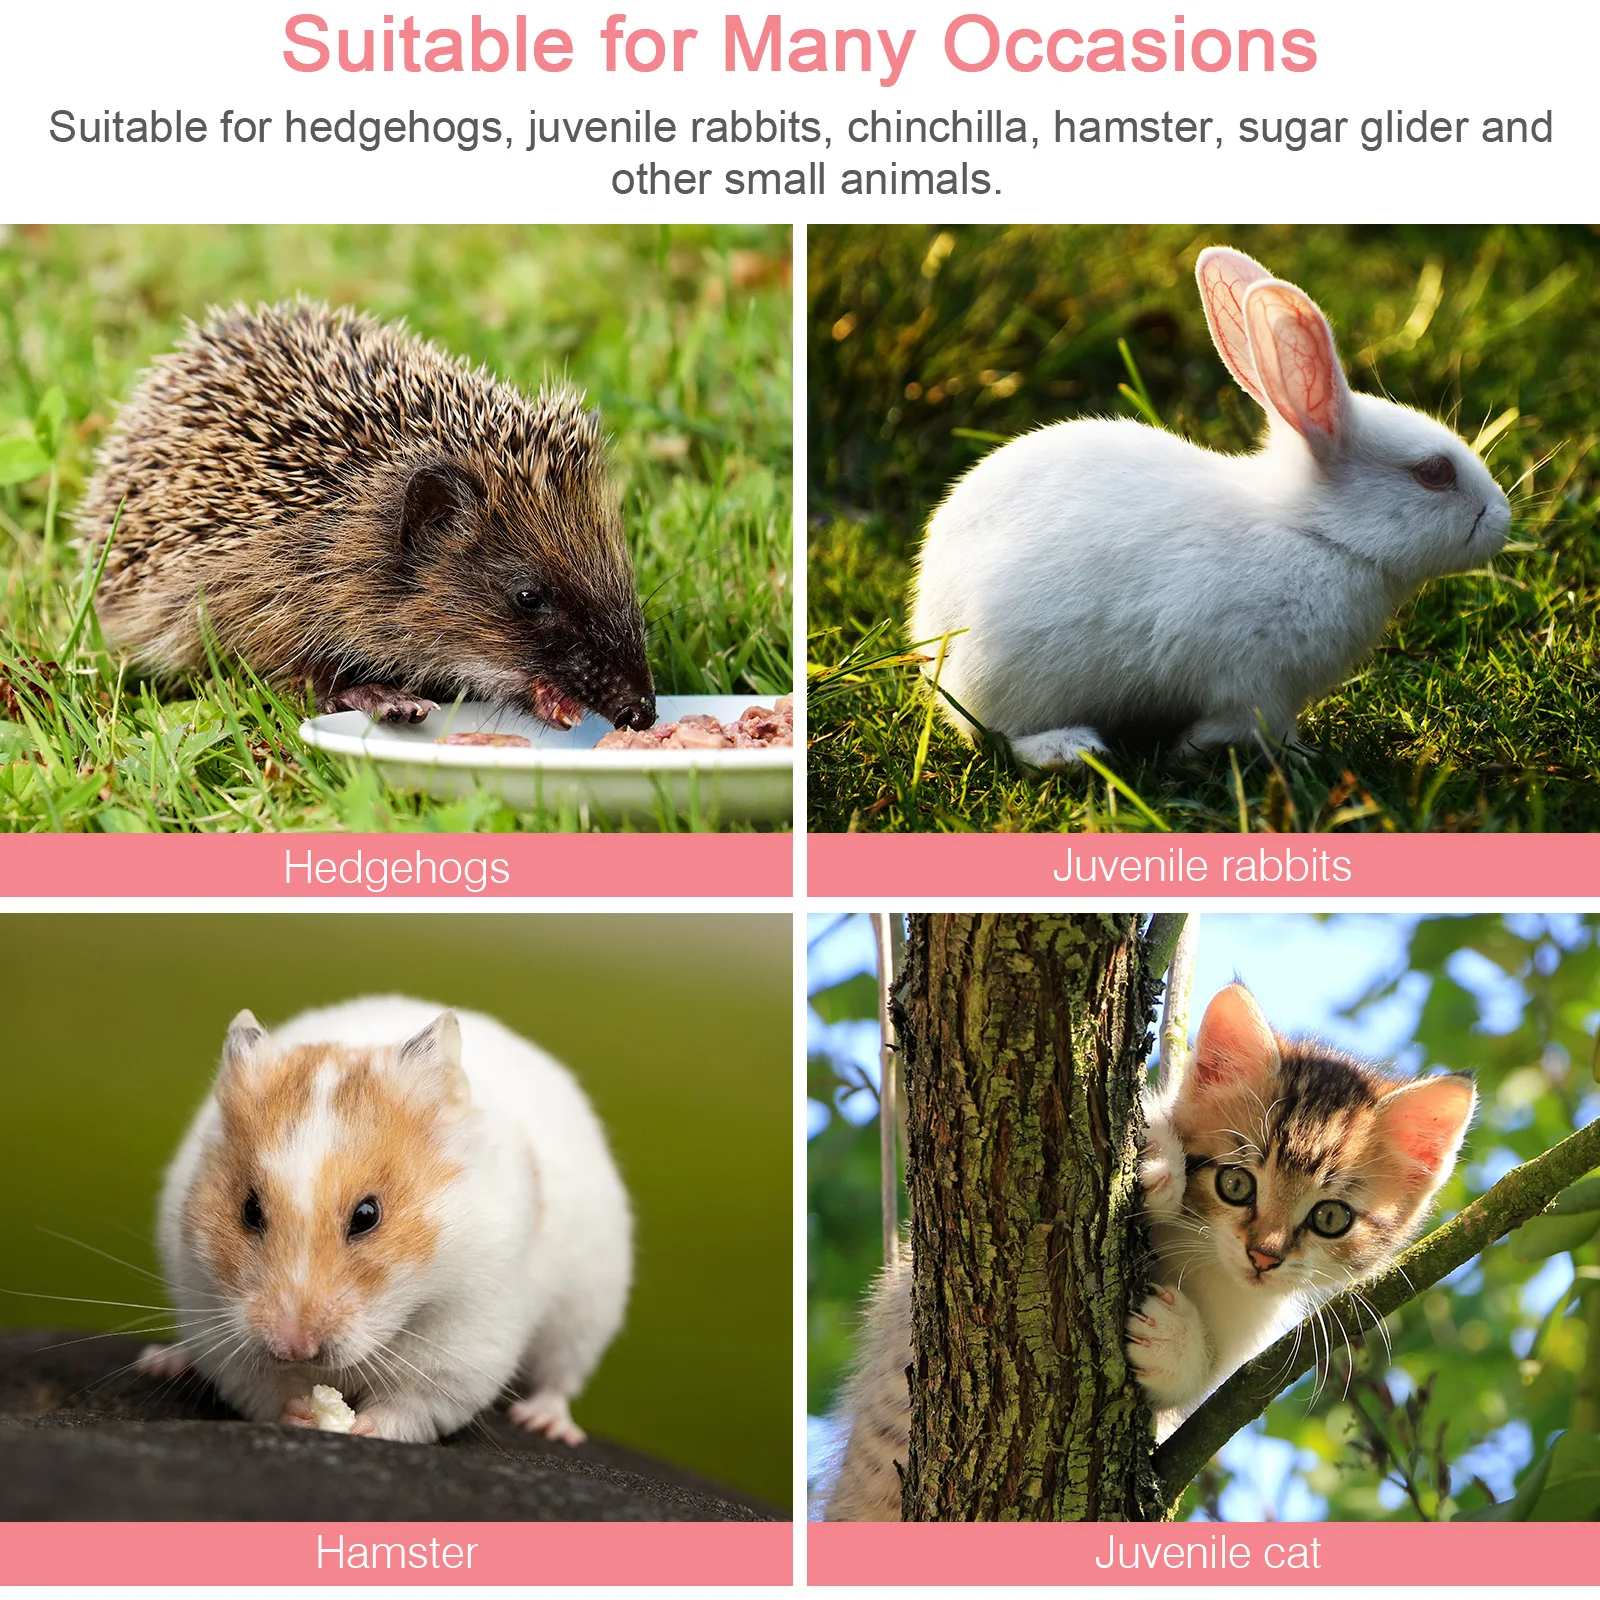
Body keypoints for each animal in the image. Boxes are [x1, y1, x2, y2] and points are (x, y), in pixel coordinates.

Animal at [136, 996, 631, 1446]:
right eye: (249, 1210)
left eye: (367, 1215)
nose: (294, 1348)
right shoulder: (217, 1322)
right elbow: (264, 1390)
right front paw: (303, 1413)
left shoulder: (464, 1342)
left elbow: (411, 1405)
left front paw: (359, 1426)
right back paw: (162, 1361)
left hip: (587, 1311)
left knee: (560, 1378)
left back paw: (546, 1424)